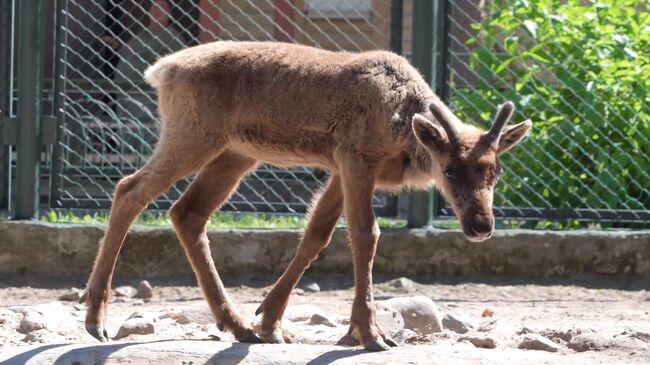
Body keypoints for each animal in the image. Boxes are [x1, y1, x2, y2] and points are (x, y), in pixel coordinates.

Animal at [81, 41, 528, 352]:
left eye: (496, 170)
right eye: (449, 170)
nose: (481, 225)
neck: (403, 127)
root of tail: (161, 70)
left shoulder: (341, 170)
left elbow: (317, 233)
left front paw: (269, 322)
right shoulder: (356, 158)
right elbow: (365, 235)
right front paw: (371, 334)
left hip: (235, 153)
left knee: (187, 212)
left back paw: (237, 325)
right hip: (192, 135)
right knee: (129, 189)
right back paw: (95, 318)